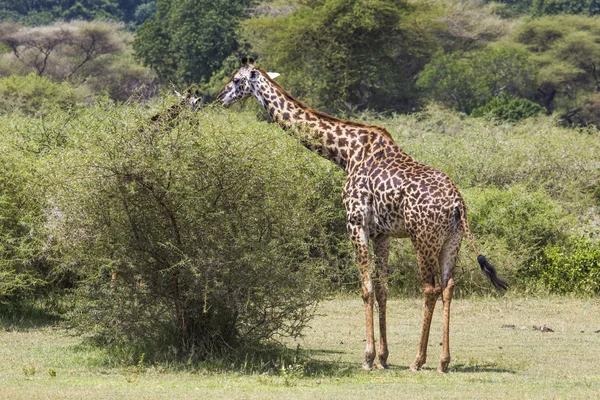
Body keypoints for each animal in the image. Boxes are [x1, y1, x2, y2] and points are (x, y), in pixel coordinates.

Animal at [217, 57, 506, 374]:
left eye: (235, 79)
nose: (219, 98)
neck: (346, 154)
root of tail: (457, 204)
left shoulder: (355, 223)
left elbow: (366, 288)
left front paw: (368, 358)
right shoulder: (382, 234)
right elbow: (382, 289)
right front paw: (383, 358)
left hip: (423, 239)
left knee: (430, 288)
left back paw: (418, 360)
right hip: (452, 241)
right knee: (448, 287)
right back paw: (443, 361)